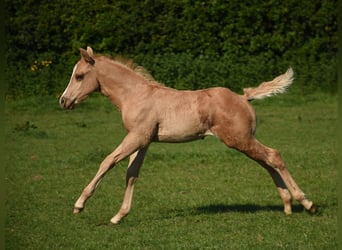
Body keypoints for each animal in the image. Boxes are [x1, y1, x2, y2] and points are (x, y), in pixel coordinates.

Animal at [58, 47, 316, 225]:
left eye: (79, 76)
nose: (63, 101)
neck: (136, 94)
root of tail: (244, 97)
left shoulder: (137, 137)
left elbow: (107, 161)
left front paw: (79, 204)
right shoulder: (143, 141)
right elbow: (132, 174)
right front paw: (119, 216)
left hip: (239, 140)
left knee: (274, 156)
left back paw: (307, 202)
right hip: (243, 142)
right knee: (268, 163)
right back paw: (287, 205)